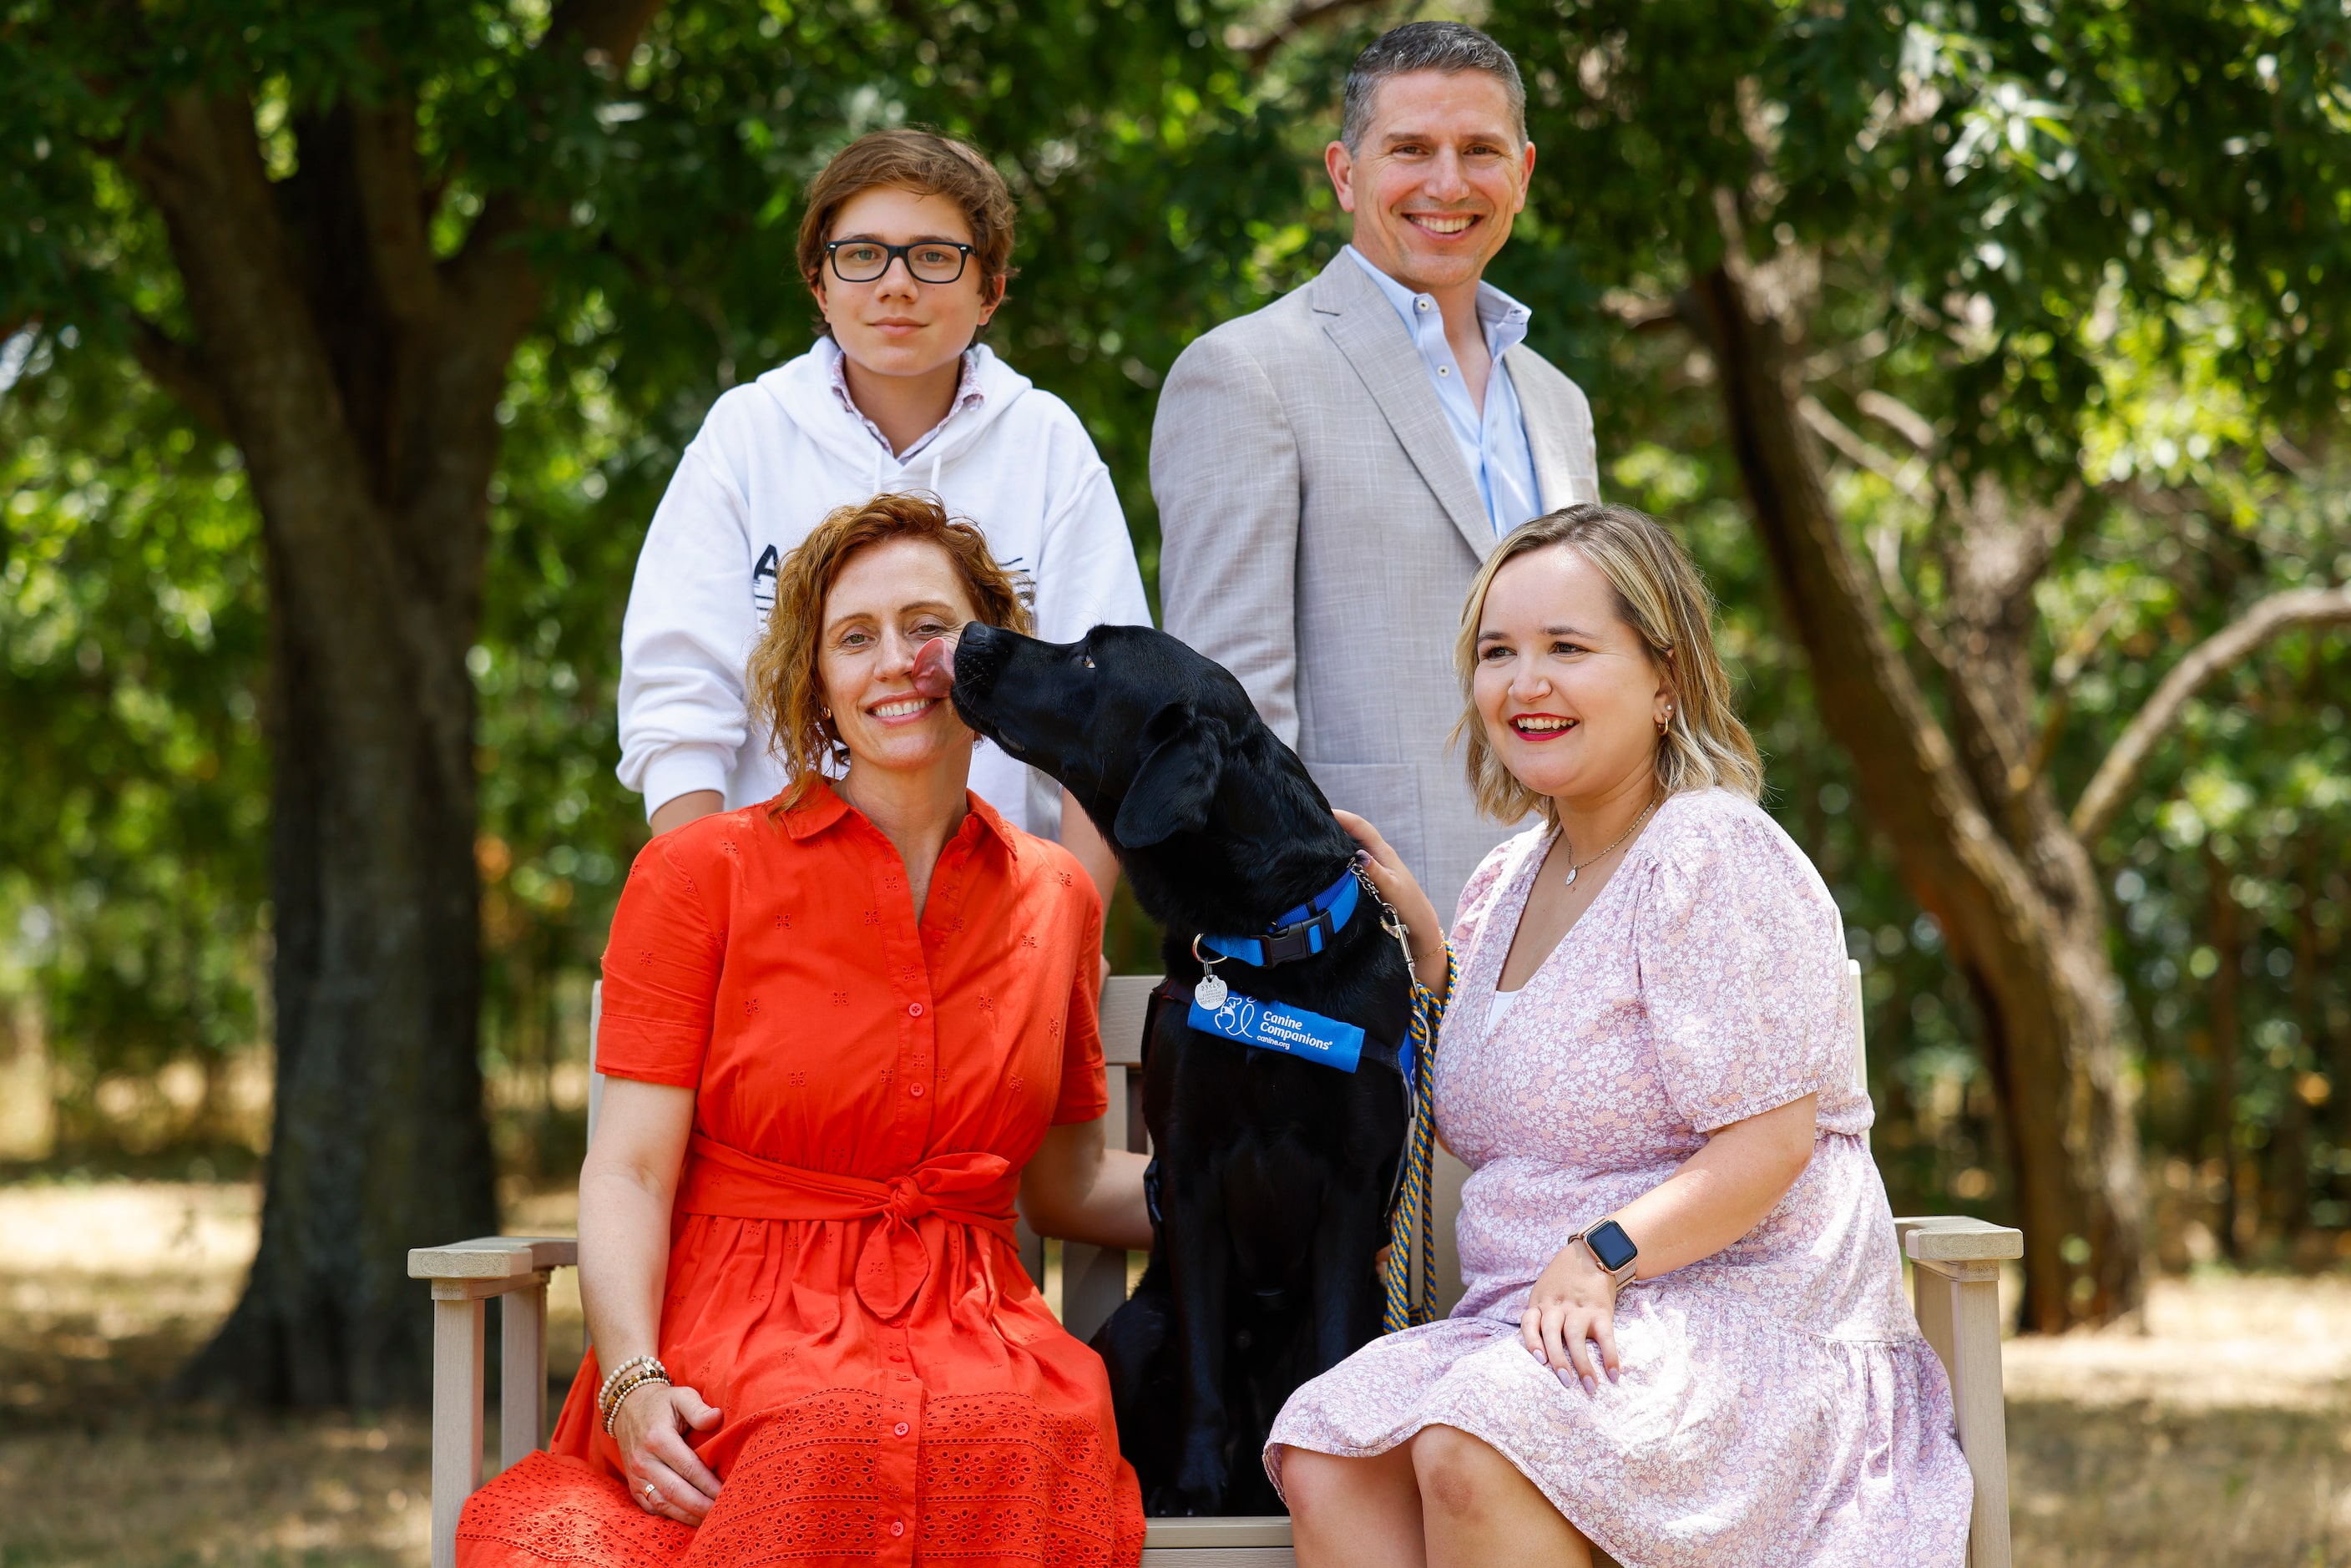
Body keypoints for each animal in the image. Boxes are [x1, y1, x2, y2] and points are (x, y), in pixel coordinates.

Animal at [935, 620, 1410, 1523]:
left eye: (1090, 656)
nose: (973, 631)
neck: (1261, 944)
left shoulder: (1351, 1177)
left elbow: (1328, 1355)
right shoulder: (1189, 1171)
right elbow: (1201, 1370)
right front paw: (1192, 1488)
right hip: (1133, 1325)